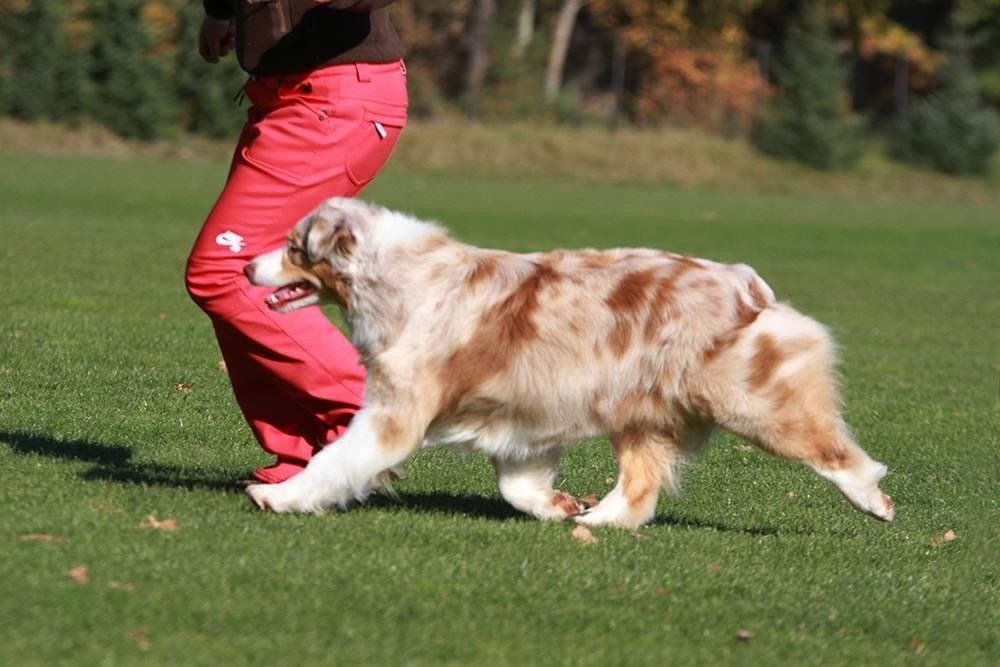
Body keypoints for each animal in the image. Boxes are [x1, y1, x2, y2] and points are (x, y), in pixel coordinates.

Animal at [242, 198, 894, 528]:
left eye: (295, 248)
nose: (247, 266)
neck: (399, 278)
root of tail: (744, 283)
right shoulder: (521, 418)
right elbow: (517, 487)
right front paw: (558, 505)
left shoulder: (394, 414)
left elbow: (335, 459)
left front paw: (281, 497)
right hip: (642, 411)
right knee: (639, 487)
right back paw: (597, 520)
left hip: (749, 399)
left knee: (834, 451)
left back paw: (875, 501)